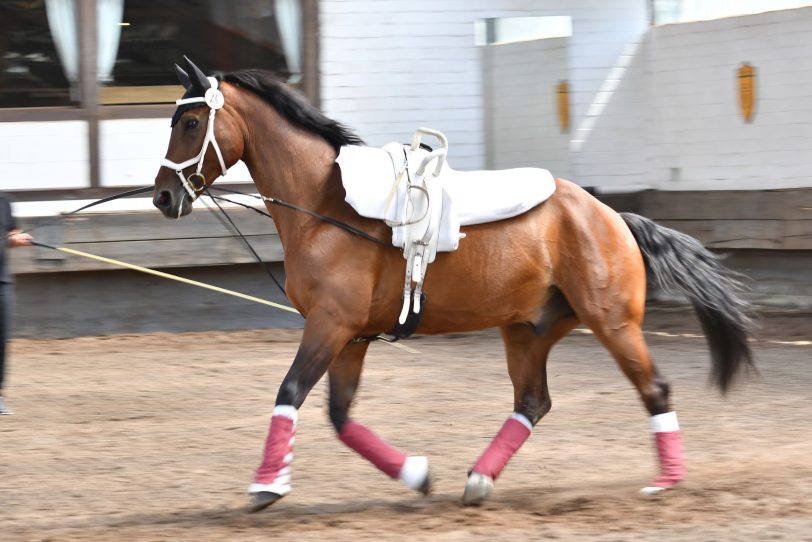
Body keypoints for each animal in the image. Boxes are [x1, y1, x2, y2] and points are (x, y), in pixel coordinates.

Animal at [154, 58, 756, 516]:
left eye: (190, 123)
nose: (162, 196)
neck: (326, 207)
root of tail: (612, 216)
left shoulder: (331, 325)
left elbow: (290, 392)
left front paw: (266, 485)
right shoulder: (350, 337)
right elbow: (340, 416)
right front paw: (418, 474)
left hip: (612, 323)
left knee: (654, 389)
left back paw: (667, 481)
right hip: (527, 329)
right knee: (533, 401)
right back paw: (479, 480)